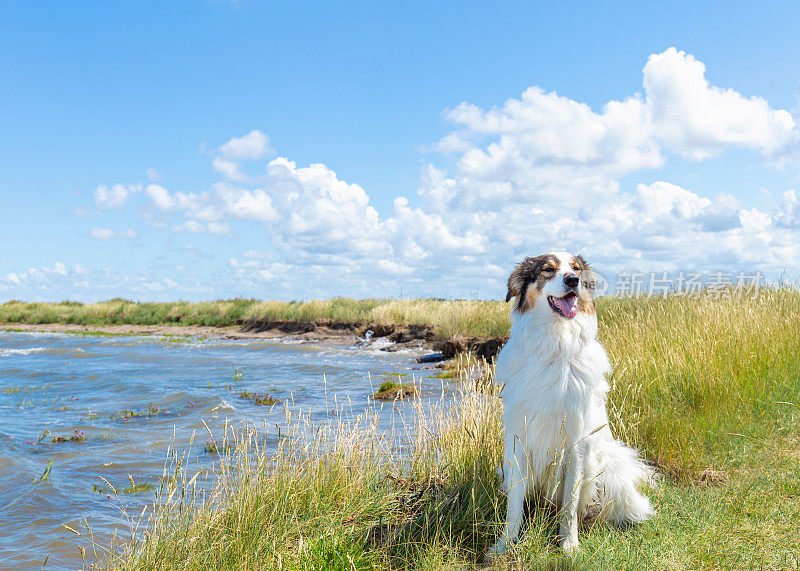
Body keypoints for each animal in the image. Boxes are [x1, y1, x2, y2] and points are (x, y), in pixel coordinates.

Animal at [484, 252, 652, 556]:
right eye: (548, 270)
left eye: (575, 269)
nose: (572, 280)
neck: (555, 343)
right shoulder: (518, 442)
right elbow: (514, 505)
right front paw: (505, 543)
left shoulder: (576, 444)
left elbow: (570, 505)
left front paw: (569, 544)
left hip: (608, 464)